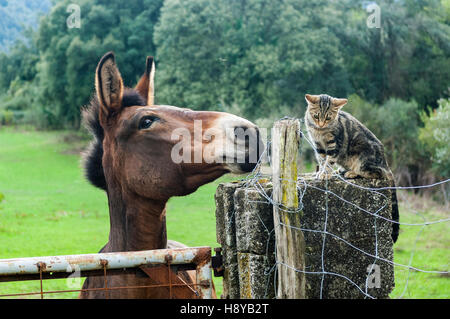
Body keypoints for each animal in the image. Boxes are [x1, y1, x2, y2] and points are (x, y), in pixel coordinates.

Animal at [304, 94, 400, 244]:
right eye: (316, 116)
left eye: (328, 118)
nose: (321, 124)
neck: (320, 132)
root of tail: (385, 163)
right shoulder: (318, 146)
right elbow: (322, 160)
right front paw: (320, 172)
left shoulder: (334, 144)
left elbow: (329, 161)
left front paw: (325, 174)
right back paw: (341, 170)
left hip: (363, 159)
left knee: (377, 173)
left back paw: (351, 173)